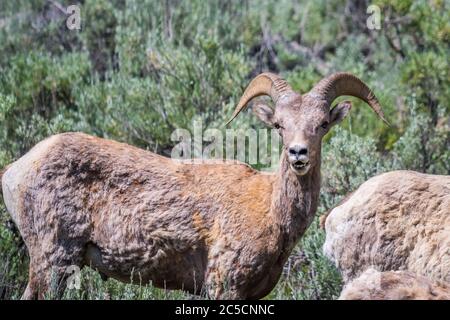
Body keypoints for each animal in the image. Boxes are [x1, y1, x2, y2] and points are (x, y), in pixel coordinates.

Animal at [0, 71, 386, 298]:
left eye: (322, 124)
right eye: (278, 125)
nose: (298, 153)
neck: (269, 210)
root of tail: (15, 171)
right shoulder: (222, 285)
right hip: (51, 260)